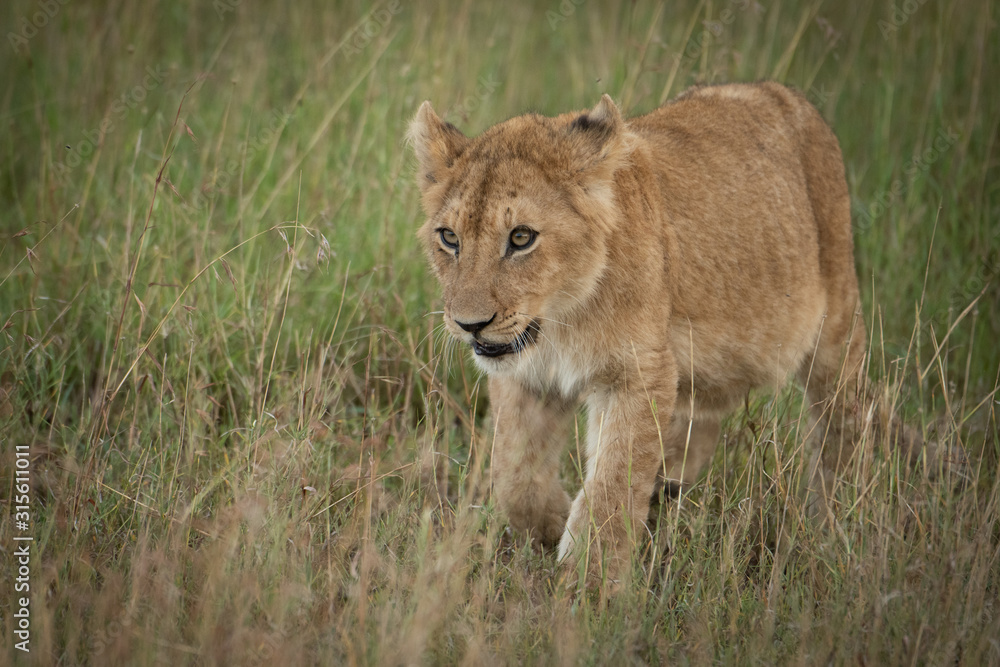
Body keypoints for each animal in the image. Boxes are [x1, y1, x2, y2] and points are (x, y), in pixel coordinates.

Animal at [409, 82, 869, 585]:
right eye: (449, 238)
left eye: (521, 238)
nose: (470, 324)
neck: (561, 319)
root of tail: (783, 92)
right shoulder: (526, 376)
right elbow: (514, 476)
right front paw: (554, 522)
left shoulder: (639, 373)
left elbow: (613, 483)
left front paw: (591, 583)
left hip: (836, 326)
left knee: (845, 421)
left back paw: (833, 520)